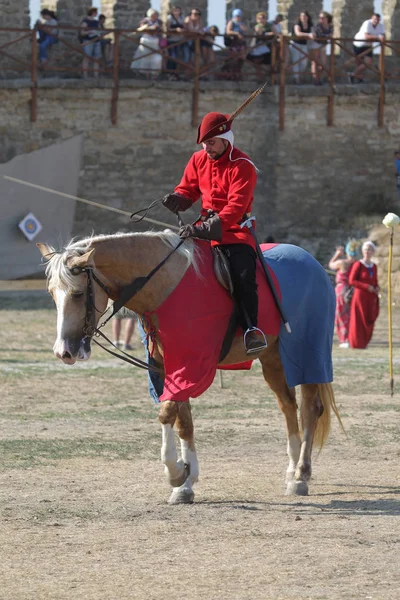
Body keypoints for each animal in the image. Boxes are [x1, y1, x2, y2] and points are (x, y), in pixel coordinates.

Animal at [38, 232, 344, 504]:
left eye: (78, 294)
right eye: (52, 294)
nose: (64, 351)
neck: (164, 286)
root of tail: (312, 262)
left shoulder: (190, 366)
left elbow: (166, 413)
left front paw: (176, 473)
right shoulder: (168, 368)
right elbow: (183, 421)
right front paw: (186, 483)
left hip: (306, 353)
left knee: (310, 408)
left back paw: (301, 476)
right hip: (272, 357)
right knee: (288, 406)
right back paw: (292, 469)